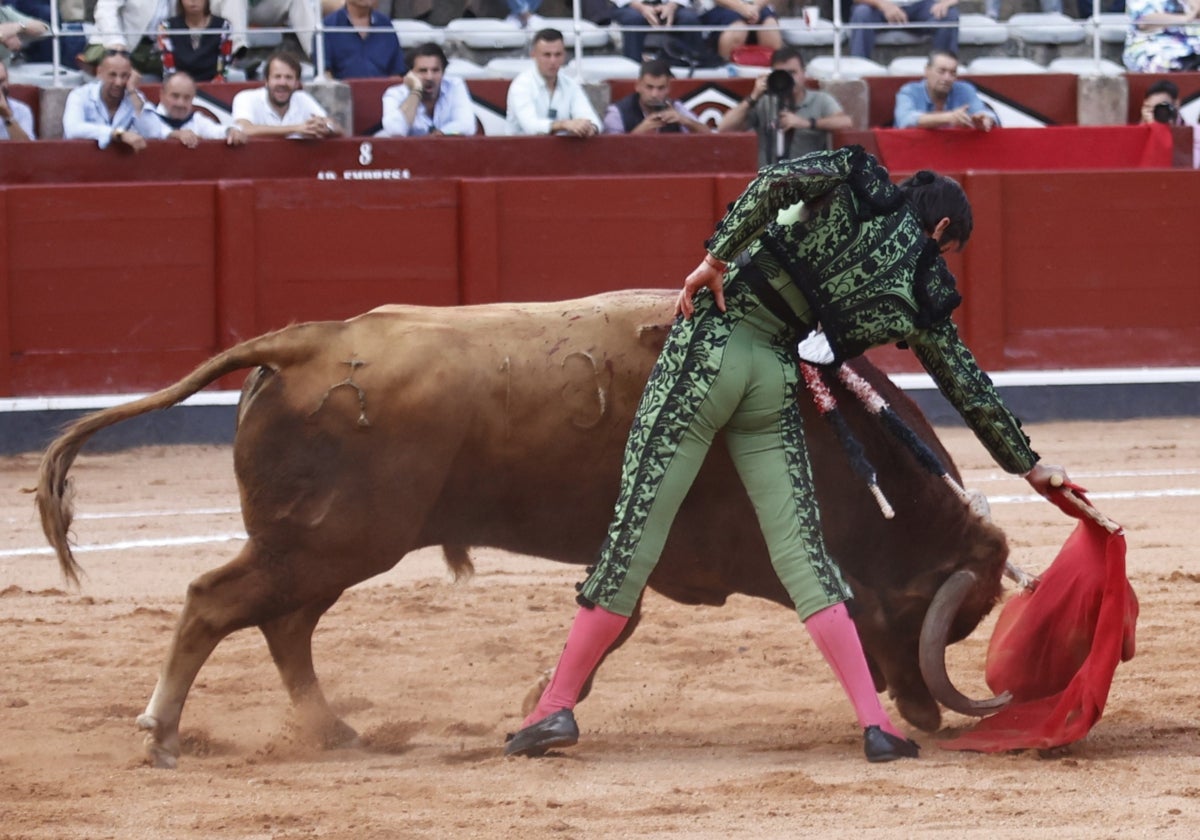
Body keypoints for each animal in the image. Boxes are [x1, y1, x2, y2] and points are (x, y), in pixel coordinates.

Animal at [35, 289, 1012, 768]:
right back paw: (162, 734)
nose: (926, 713)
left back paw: (333, 730)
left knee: (284, 625)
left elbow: (613, 624)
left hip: (323, 550)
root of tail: (304, 341)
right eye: (924, 611)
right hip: (328, 545)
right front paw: (542, 710)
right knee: (215, 601)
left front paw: (540, 708)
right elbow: (618, 621)